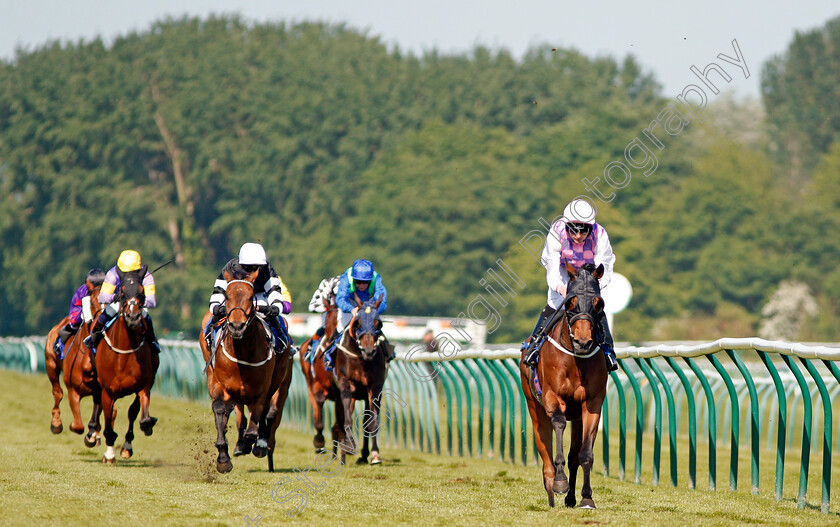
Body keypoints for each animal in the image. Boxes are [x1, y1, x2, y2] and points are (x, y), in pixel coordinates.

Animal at [94, 270, 161, 464]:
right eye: (122, 292)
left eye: (142, 291)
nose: (132, 317)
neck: (124, 352)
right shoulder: (107, 391)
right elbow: (108, 420)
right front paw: (109, 453)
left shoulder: (144, 385)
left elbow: (137, 414)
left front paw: (143, 429)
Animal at [200, 270, 296, 472]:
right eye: (227, 296)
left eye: (251, 297)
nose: (237, 326)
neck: (243, 350)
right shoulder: (221, 384)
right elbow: (220, 409)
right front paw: (223, 457)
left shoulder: (262, 390)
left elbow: (255, 426)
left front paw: (254, 444)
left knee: (268, 413)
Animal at [300, 288, 342, 454]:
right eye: (329, 321)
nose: (333, 341)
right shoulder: (317, 387)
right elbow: (318, 418)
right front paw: (319, 442)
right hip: (309, 383)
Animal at [334, 296, 388, 466]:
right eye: (358, 322)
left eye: (378, 323)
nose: (369, 351)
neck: (361, 360)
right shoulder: (345, 385)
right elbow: (347, 419)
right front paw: (350, 445)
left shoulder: (375, 387)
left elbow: (372, 422)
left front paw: (375, 454)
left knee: (366, 420)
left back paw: (364, 454)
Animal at [520, 262, 612, 510]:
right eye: (570, 302)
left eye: (598, 303)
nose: (583, 342)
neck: (575, 360)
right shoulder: (553, 397)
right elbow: (559, 426)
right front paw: (560, 483)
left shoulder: (591, 403)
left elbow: (584, 454)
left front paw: (586, 497)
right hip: (535, 408)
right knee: (545, 451)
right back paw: (552, 488)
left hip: (577, 416)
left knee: (573, 456)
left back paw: (570, 497)